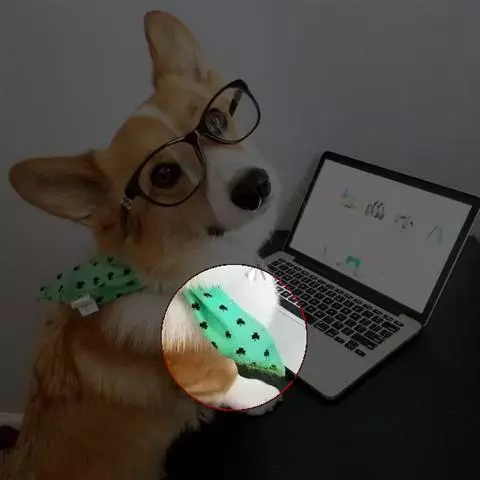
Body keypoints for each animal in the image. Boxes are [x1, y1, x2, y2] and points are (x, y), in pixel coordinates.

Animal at [2, 11, 281, 480]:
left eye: (216, 121)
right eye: (164, 176)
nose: (256, 186)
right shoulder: (205, 375)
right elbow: (235, 382)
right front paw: (261, 398)